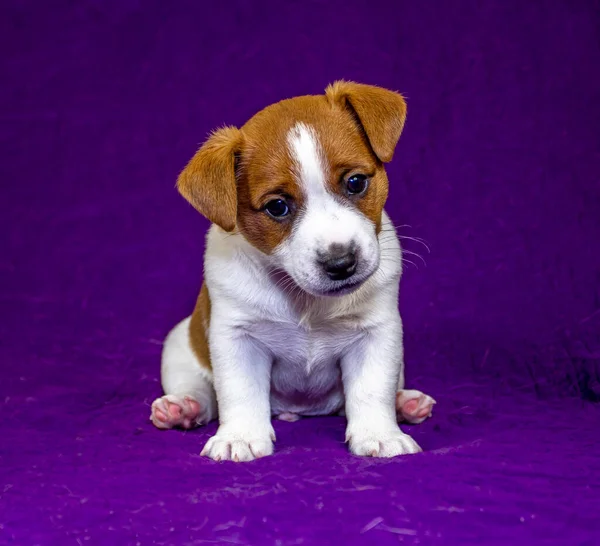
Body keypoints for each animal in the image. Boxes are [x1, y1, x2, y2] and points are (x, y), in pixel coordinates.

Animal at [150, 81, 436, 462]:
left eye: (356, 182)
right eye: (277, 207)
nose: (341, 263)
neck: (305, 301)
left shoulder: (376, 334)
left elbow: (372, 389)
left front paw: (380, 434)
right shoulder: (238, 339)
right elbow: (239, 393)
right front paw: (240, 436)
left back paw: (405, 403)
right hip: (179, 347)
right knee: (202, 392)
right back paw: (182, 407)